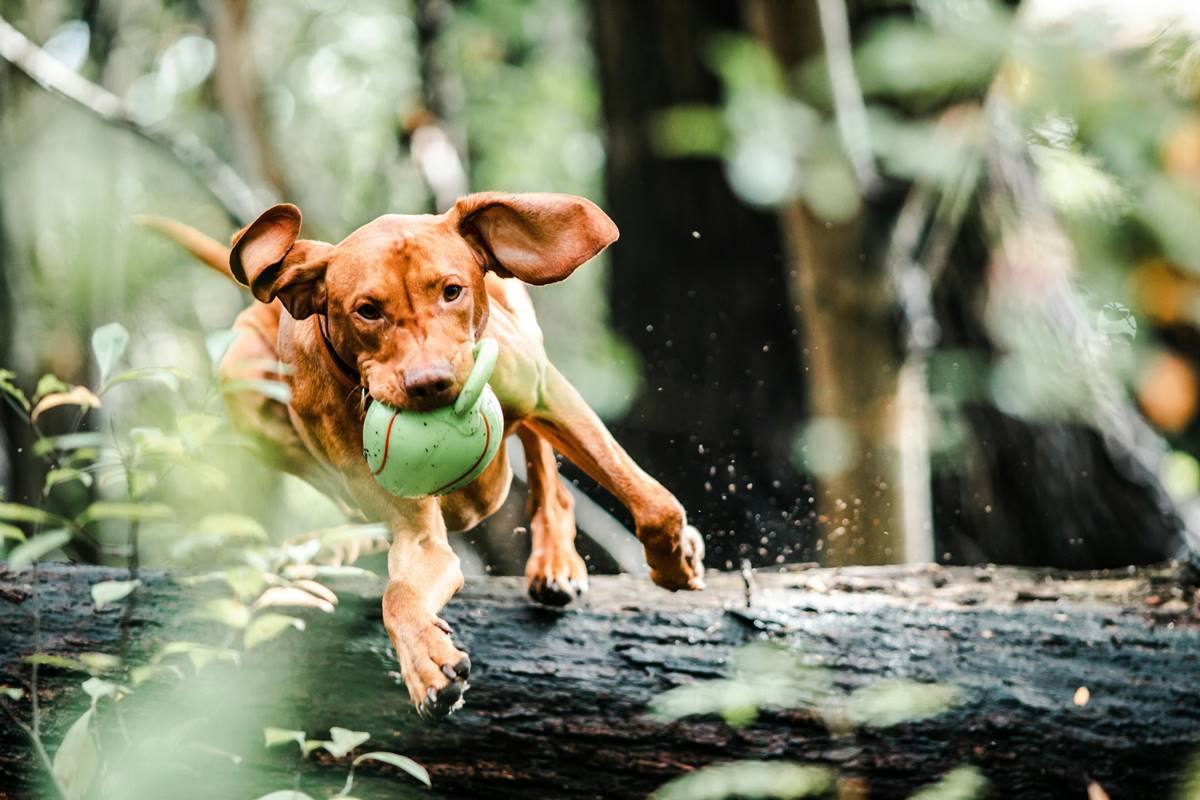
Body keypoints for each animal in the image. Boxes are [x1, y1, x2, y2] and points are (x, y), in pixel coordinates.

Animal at [147, 195, 700, 719]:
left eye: (451, 291)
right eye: (367, 310)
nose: (431, 383)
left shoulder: (547, 394)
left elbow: (653, 504)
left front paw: (674, 563)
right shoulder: (418, 534)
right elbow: (400, 592)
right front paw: (426, 663)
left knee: (546, 469)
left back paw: (555, 559)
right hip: (243, 378)